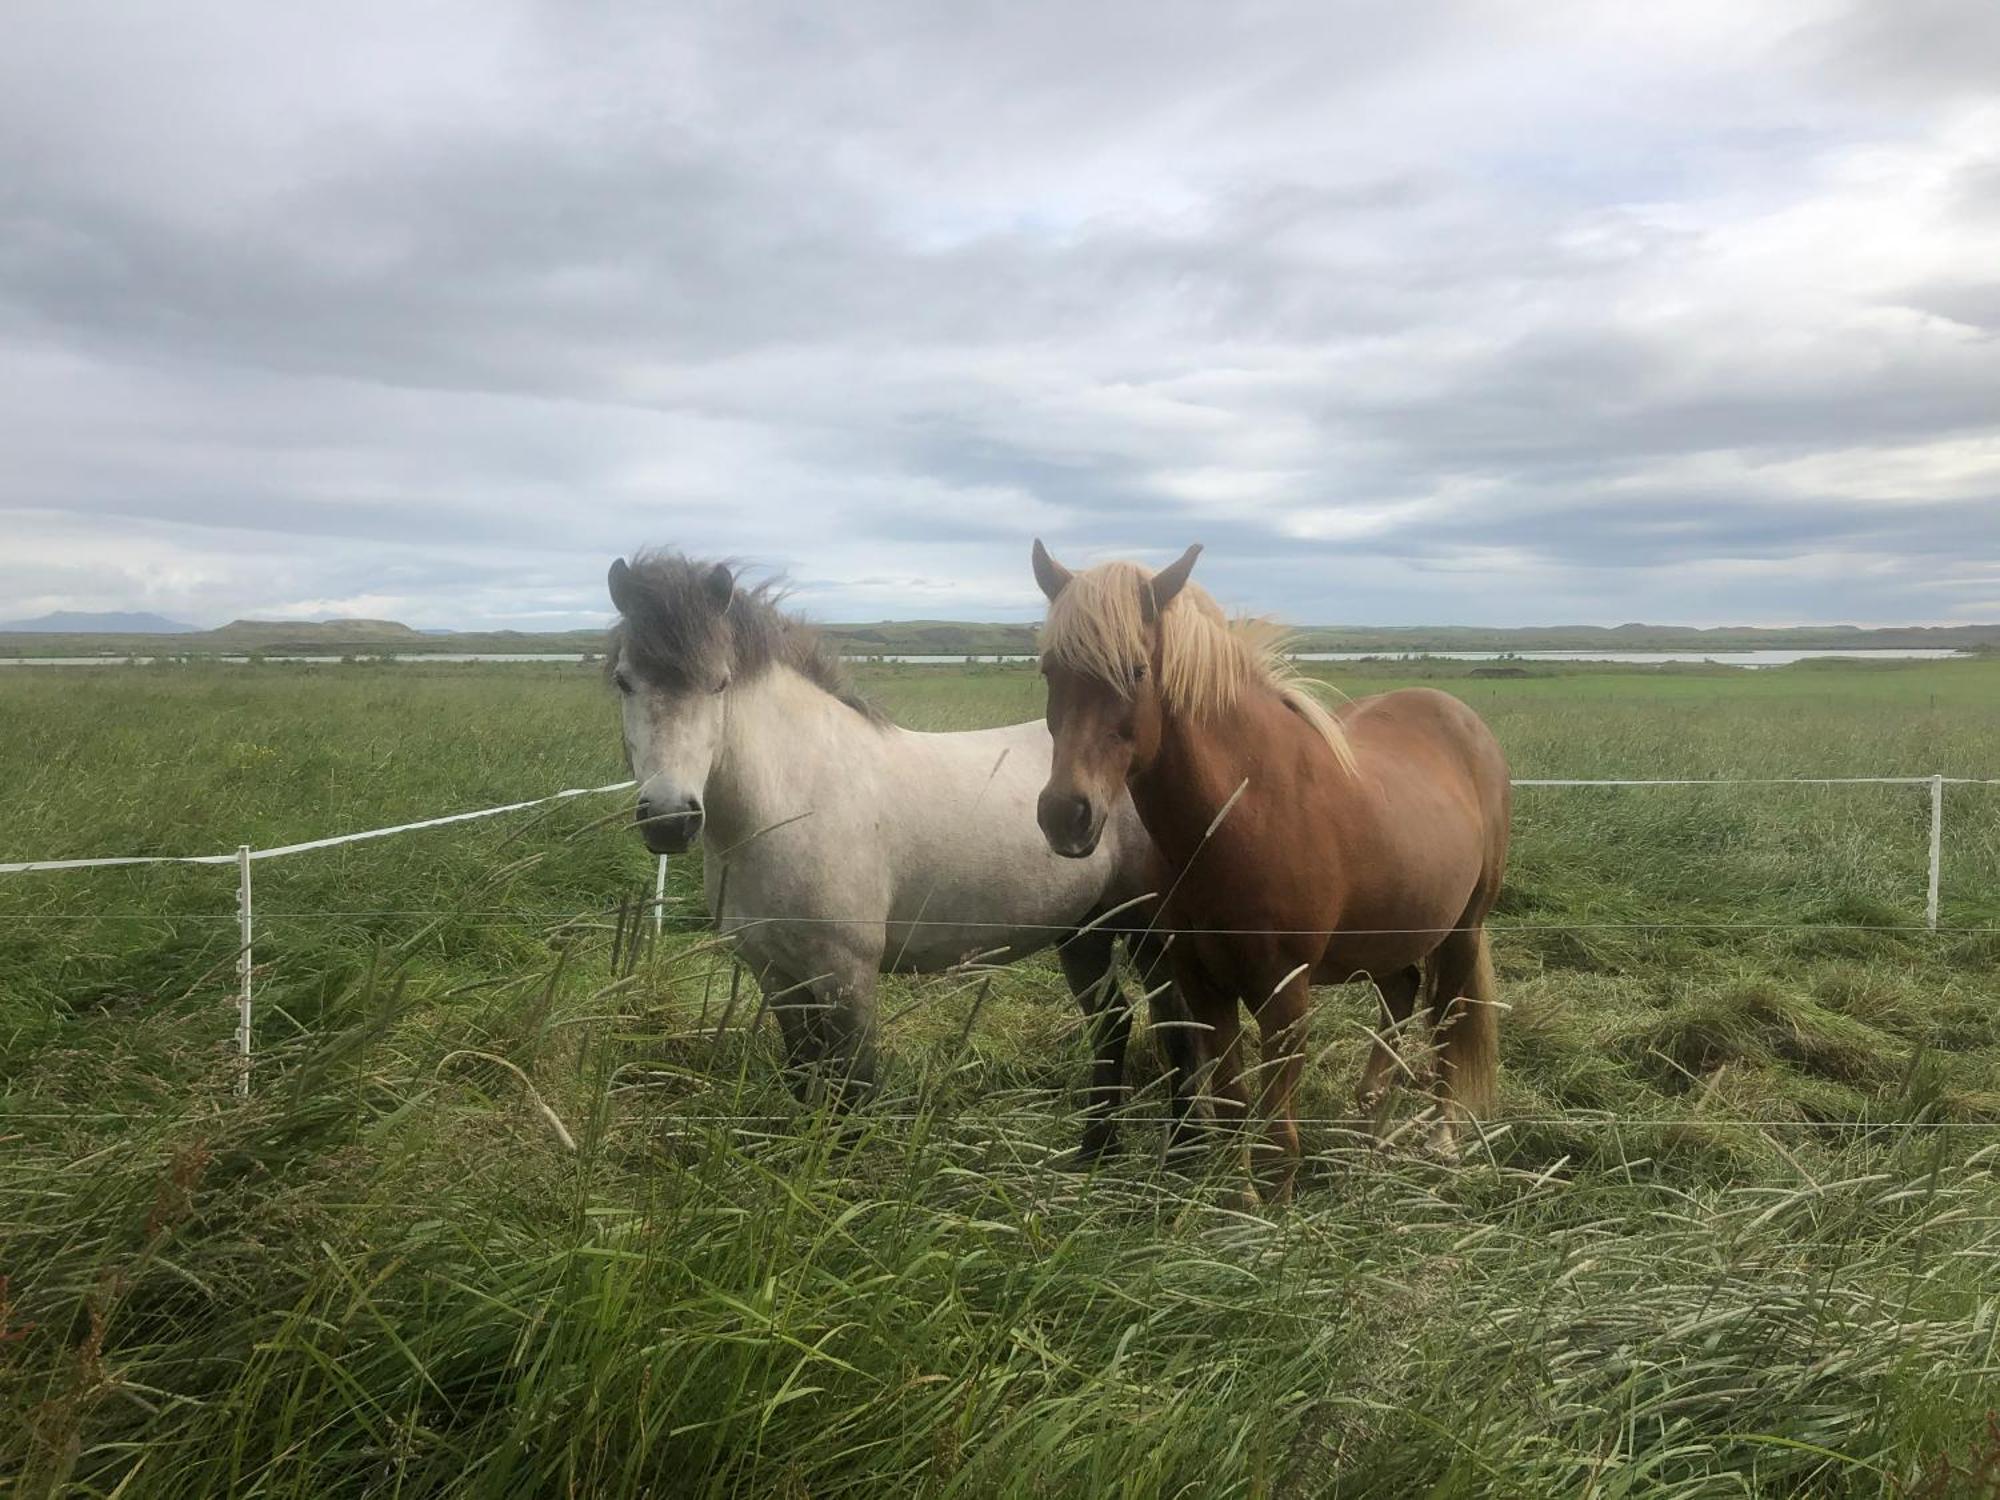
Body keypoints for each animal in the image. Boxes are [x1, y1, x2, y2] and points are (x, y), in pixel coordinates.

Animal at [1032, 548, 1512, 1208]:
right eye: (1049, 669)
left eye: (1135, 669)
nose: (1064, 814)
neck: (1243, 814)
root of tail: (1463, 720)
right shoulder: (1203, 982)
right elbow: (1233, 1105)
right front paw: (1241, 1208)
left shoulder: (1284, 991)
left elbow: (1276, 1133)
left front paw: (1273, 1213)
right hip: (1389, 931)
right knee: (1401, 992)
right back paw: (1368, 1125)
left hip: (1464, 928)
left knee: (1448, 1018)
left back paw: (1439, 1138)